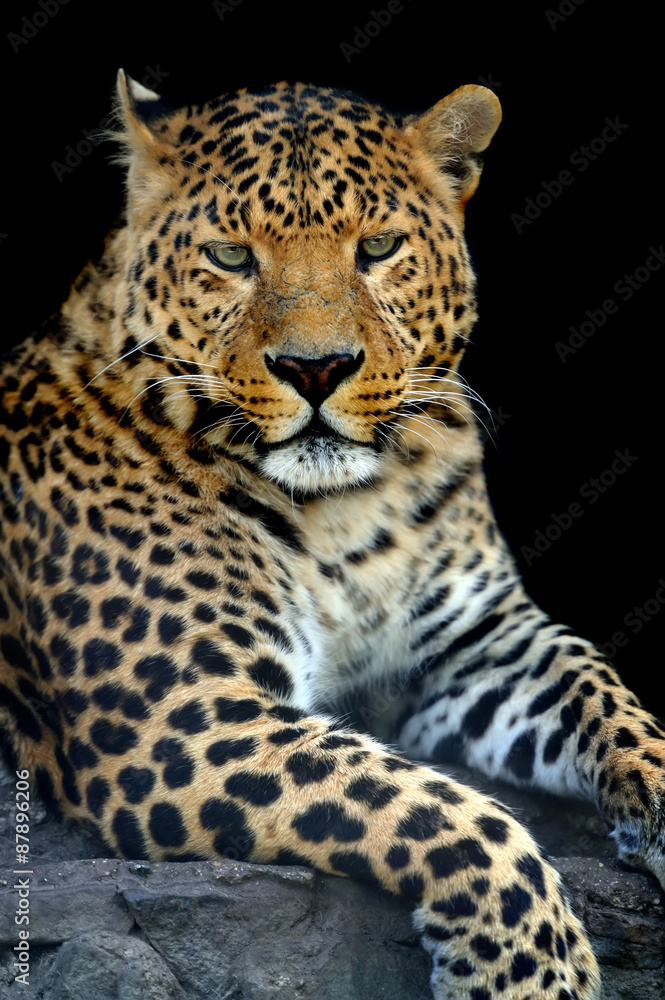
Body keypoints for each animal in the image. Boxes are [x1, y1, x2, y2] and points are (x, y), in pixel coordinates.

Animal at [1, 70, 664, 1000]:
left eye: (378, 247)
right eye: (230, 257)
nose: (314, 368)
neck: (342, 512)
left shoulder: (475, 645)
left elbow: (605, 694)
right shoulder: (180, 720)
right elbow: (433, 808)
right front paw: (535, 974)